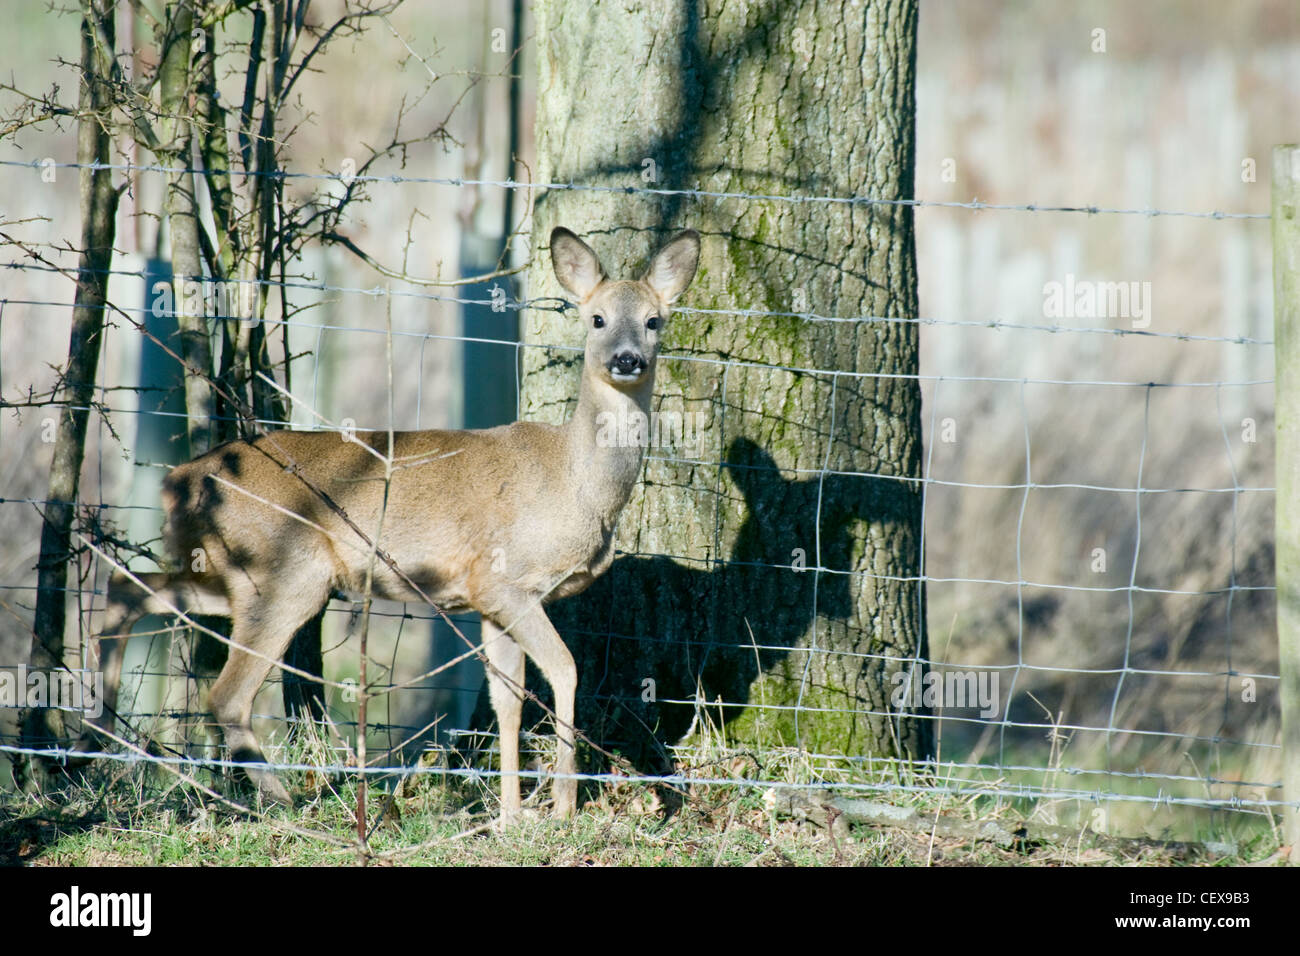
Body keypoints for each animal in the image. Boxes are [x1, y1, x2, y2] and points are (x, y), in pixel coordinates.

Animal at [91, 226, 702, 822]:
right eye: (596, 318)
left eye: (654, 320)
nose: (627, 359)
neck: (576, 483)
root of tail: (178, 479)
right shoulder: (506, 579)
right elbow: (565, 671)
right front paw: (563, 808)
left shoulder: (487, 598)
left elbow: (508, 698)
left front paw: (511, 815)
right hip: (283, 573)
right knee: (225, 693)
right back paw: (282, 803)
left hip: (231, 573)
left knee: (127, 586)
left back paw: (96, 735)